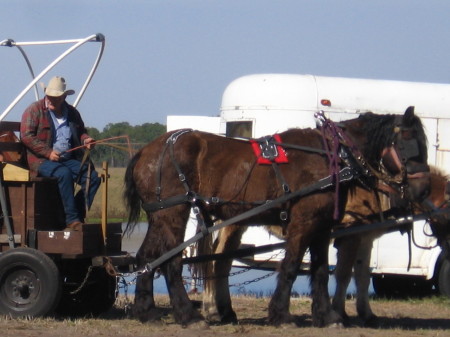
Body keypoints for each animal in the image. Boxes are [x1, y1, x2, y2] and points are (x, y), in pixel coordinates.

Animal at [125, 107, 430, 326]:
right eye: (409, 142)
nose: (423, 189)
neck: (331, 156)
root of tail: (146, 150)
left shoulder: (322, 227)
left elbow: (320, 270)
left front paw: (325, 316)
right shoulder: (303, 223)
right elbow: (292, 266)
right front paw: (282, 315)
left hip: (159, 217)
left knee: (146, 259)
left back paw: (147, 311)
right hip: (173, 212)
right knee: (172, 262)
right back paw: (188, 315)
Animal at [330, 167, 450, 324]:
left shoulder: (365, 237)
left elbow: (363, 276)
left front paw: (366, 314)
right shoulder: (350, 236)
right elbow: (343, 275)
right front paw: (339, 313)